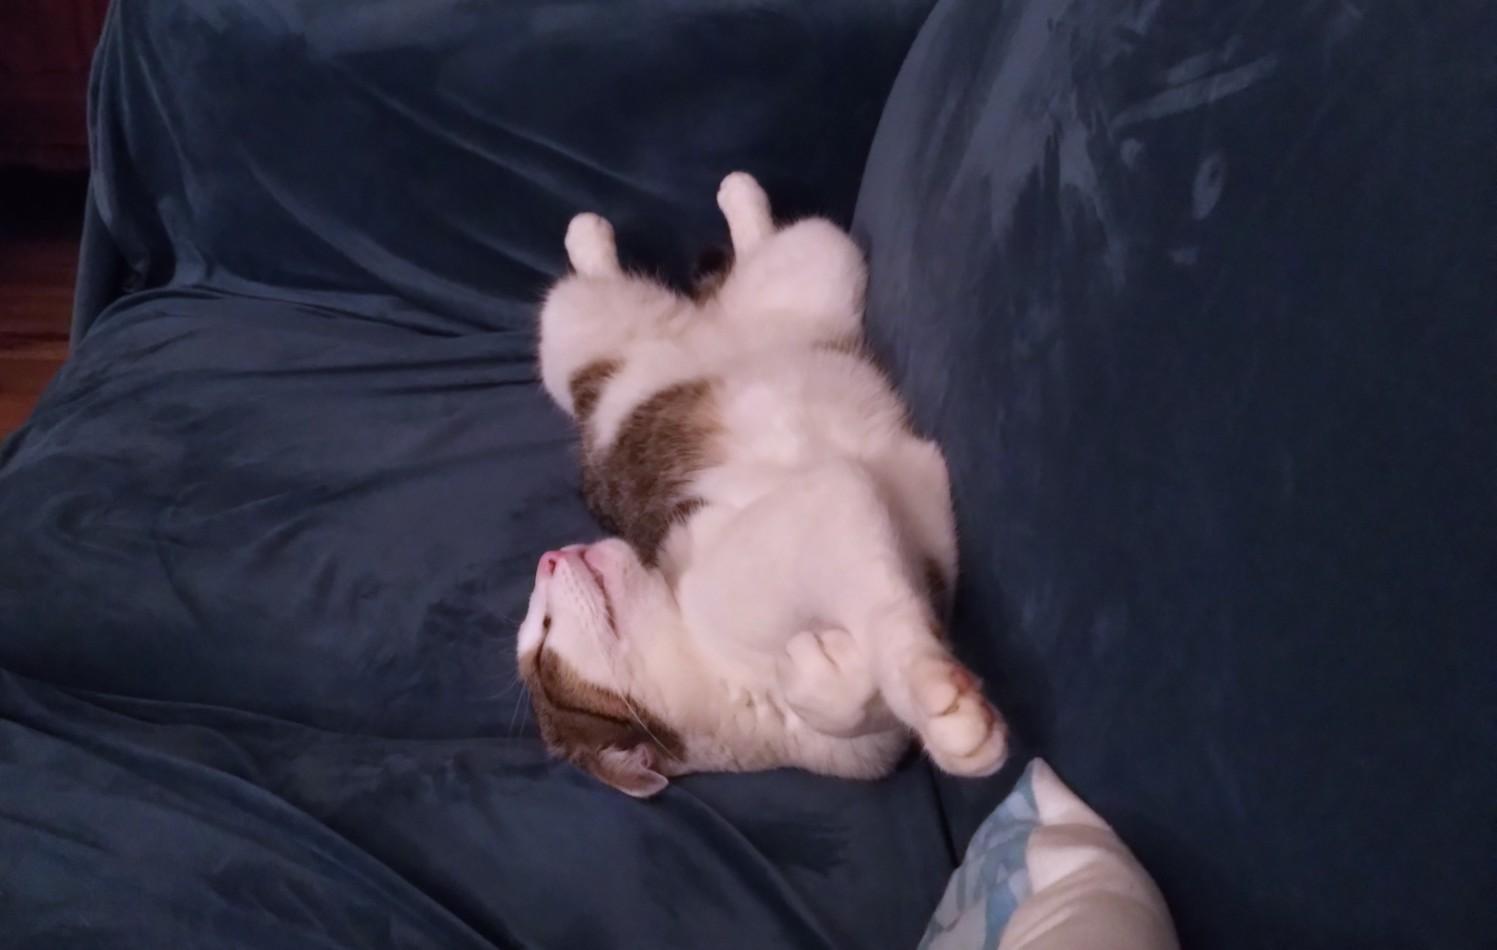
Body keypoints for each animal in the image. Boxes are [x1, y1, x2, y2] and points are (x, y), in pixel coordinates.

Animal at [514, 175, 1005, 801]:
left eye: (541, 633)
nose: (549, 558)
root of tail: (703, 314)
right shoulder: (865, 747)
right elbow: (857, 694)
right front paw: (831, 674)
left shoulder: (821, 503)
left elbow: (889, 622)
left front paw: (938, 708)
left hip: (609, 322)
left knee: (618, 270)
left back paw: (635, 221)